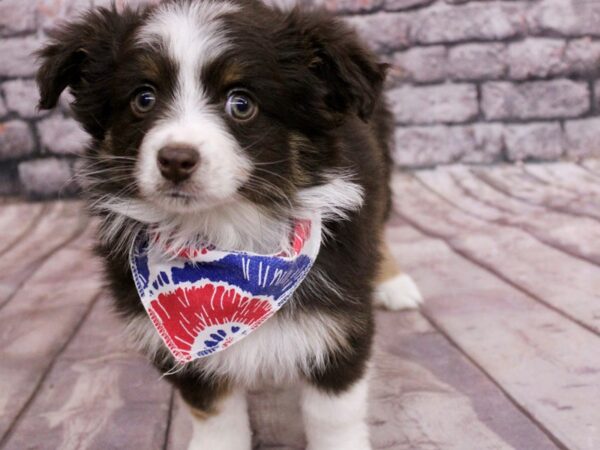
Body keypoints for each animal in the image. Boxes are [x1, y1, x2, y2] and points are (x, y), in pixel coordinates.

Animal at [37, 1, 422, 448]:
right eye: (143, 98)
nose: (175, 160)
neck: (226, 237)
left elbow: (333, 413)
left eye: (241, 104)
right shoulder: (183, 351)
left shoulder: (339, 325)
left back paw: (394, 283)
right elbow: (213, 411)